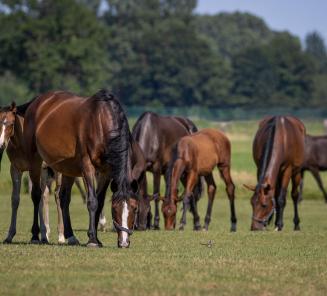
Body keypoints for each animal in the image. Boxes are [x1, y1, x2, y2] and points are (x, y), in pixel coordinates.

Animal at [23, 89, 141, 247]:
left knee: (63, 198)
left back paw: (71, 236)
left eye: (135, 208)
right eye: (114, 209)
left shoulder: (106, 172)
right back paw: (36, 236)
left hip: (67, 168)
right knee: (36, 194)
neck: (101, 120)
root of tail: (37, 101)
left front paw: (96, 238)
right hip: (35, 161)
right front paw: (92, 239)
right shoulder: (88, 167)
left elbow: (100, 201)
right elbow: (92, 201)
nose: (123, 242)